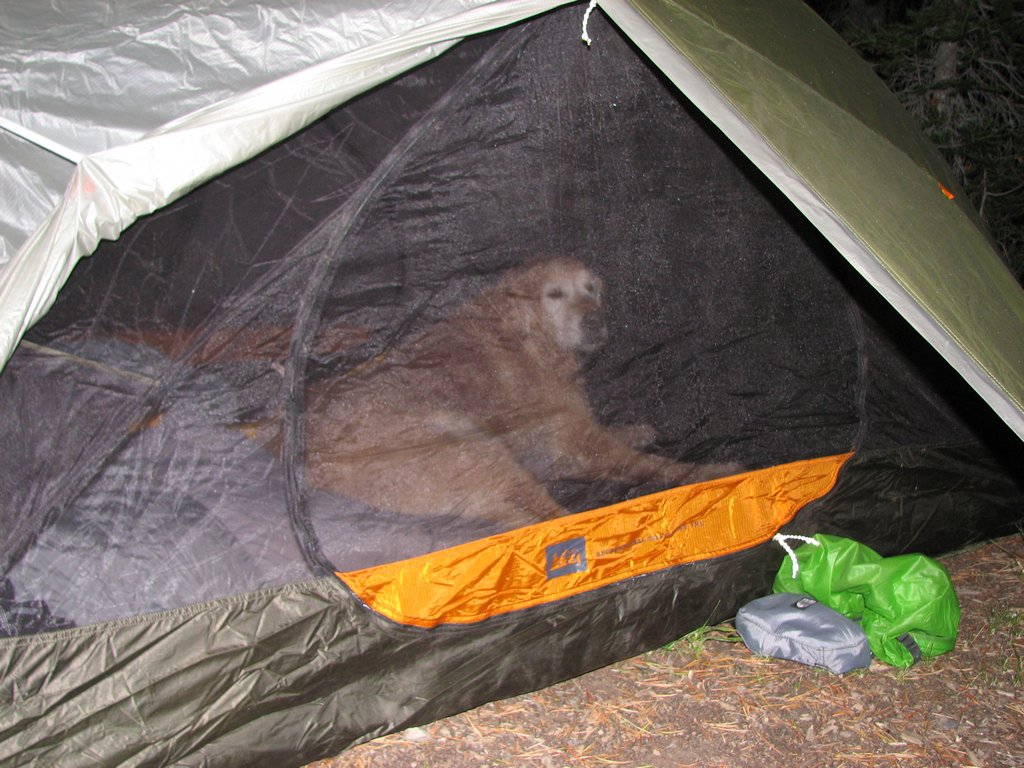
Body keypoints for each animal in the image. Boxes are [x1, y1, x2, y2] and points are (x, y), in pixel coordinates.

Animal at [299, 259, 741, 528]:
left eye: (592, 289)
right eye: (554, 294)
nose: (595, 320)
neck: (529, 338)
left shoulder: (575, 438)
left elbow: (622, 435)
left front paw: (638, 429)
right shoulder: (580, 443)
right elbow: (660, 466)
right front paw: (712, 473)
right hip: (474, 449)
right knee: (552, 518)